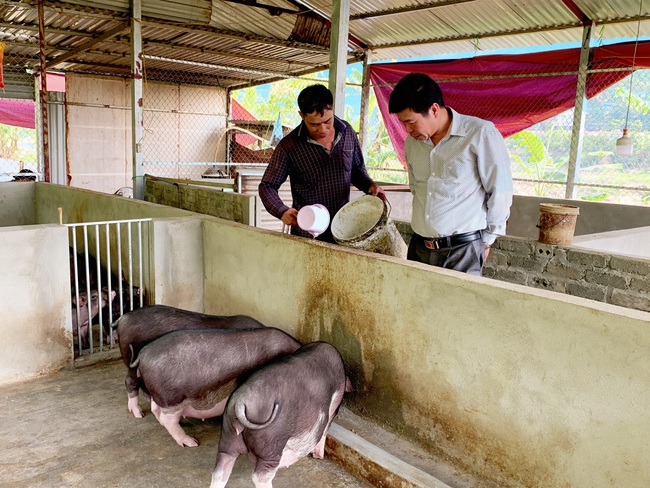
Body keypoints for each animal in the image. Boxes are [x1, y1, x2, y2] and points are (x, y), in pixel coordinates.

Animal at [134, 328, 302, 446]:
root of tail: (143, 354)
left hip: (160, 396)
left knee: (156, 410)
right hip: (172, 398)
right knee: (168, 420)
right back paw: (191, 443)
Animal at [210, 342, 346, 486]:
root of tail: (240, 403)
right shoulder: (335, 402)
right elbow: (326, 428)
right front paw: (319, 456)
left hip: (228, 433)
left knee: (220, 469)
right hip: (271, 441)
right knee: (261, 475)